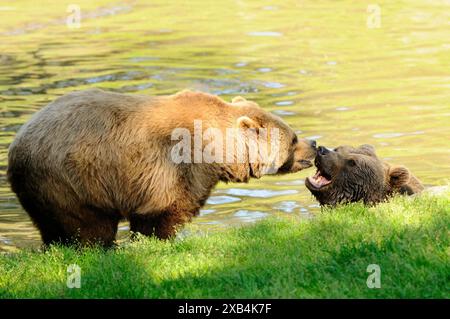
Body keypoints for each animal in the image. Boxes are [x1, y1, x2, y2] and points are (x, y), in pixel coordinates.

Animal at [7, 89, 316, 246]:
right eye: (293, 139)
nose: (313, 143)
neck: (219, 150)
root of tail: (15, 147)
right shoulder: (177, 165)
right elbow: (166, 209)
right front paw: (160, 240)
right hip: (72, 179)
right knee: (89, 226)